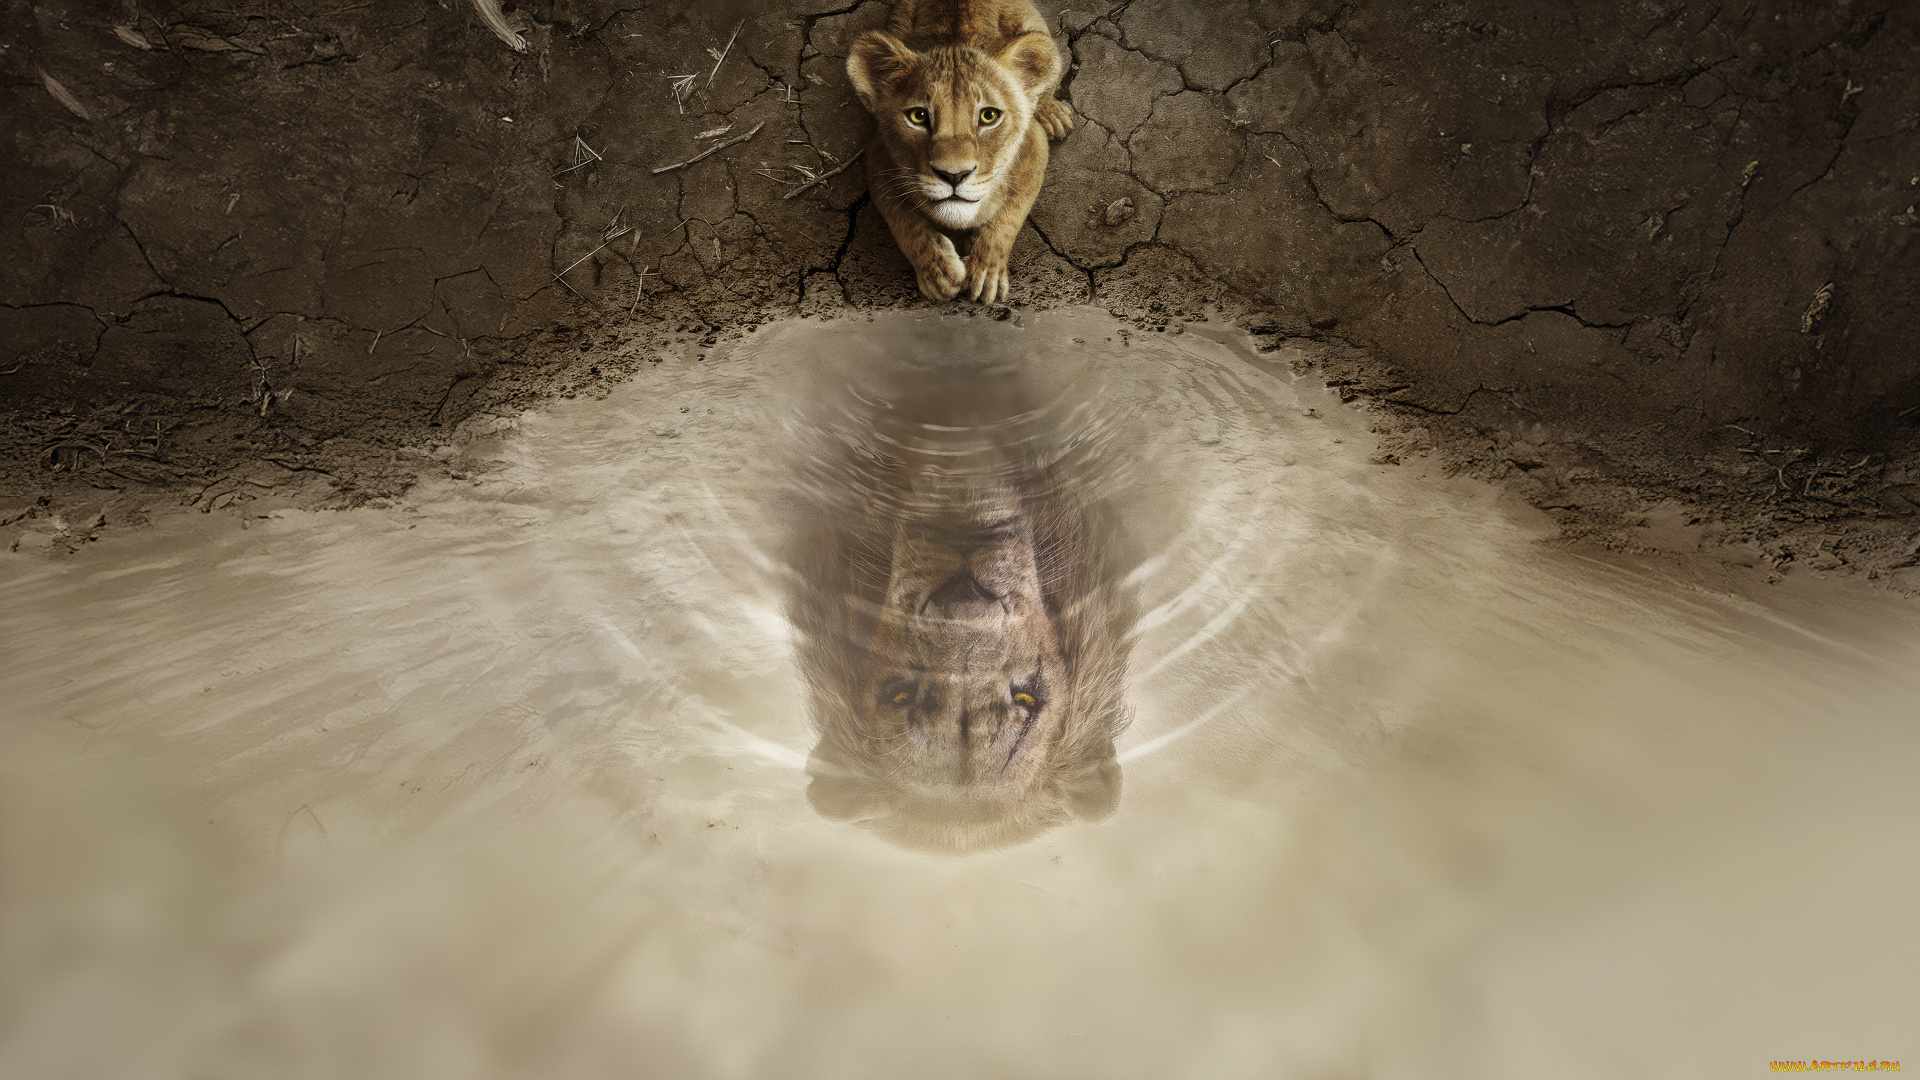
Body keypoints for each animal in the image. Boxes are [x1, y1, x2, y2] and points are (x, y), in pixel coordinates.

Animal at [846, 0, 1074, 304]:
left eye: (989, 116)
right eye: (918, 116)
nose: (953, 176)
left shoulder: (1034, 147)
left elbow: (1009, 217)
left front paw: (986, 271)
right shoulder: (876, 156)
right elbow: (902, 220)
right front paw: (937, 272)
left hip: (1035, 28)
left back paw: (1053, 115)